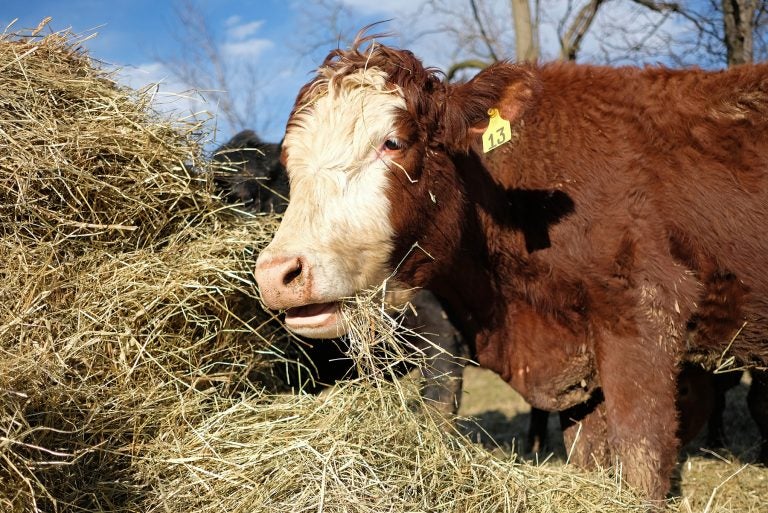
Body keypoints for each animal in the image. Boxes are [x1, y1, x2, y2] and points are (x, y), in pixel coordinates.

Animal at [255, 33, 768, 500]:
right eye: (288, 162)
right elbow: (589, 455)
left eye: (394, 142)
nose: (276, 274)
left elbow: (641, 458)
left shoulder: (646, 309)